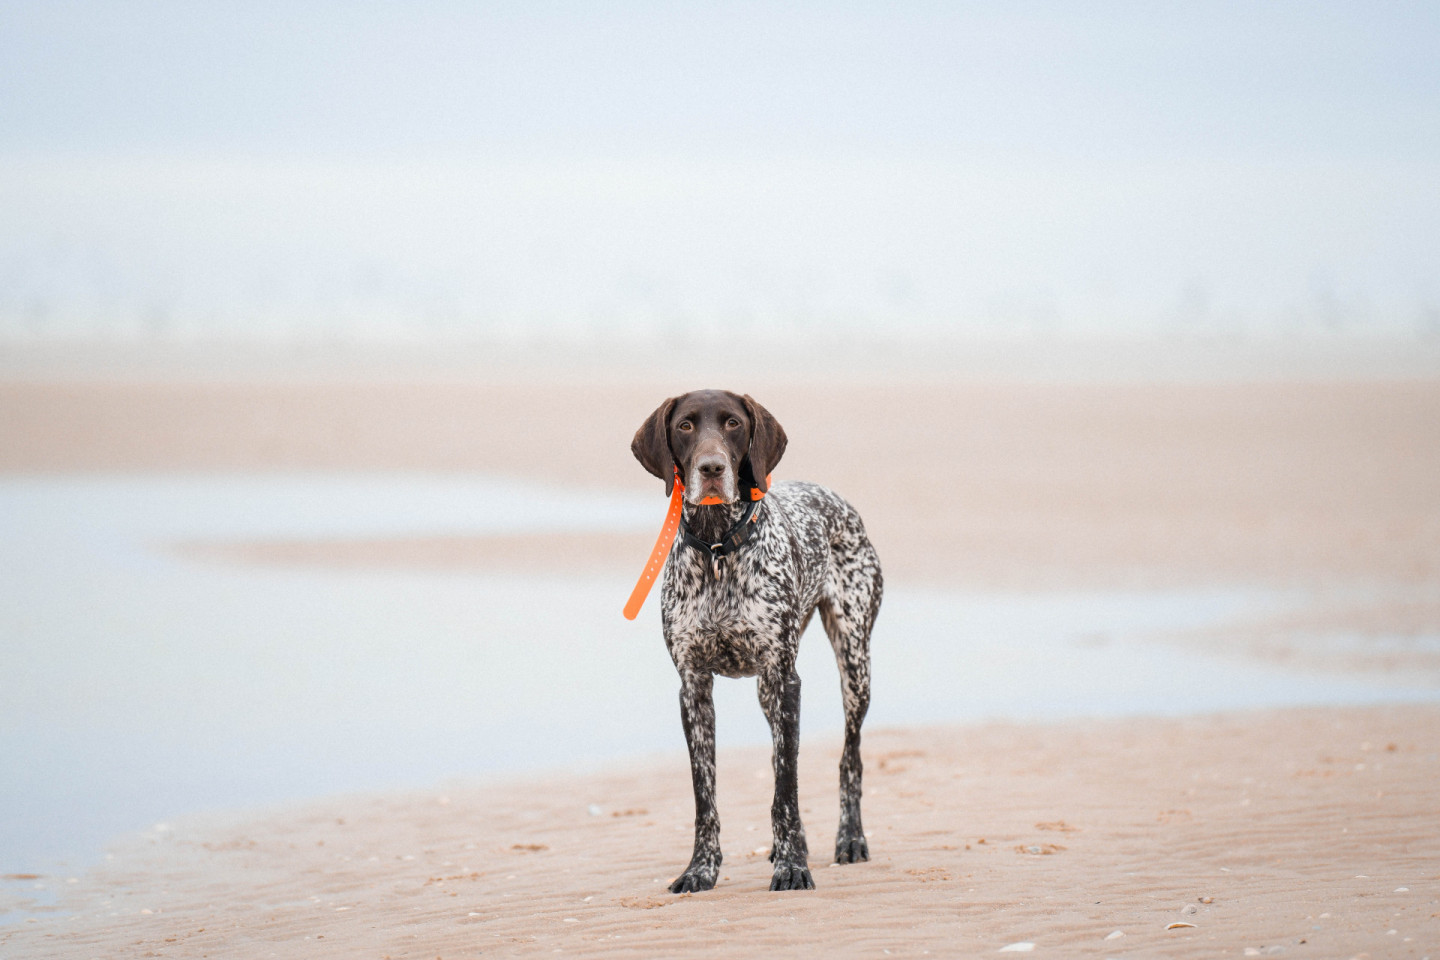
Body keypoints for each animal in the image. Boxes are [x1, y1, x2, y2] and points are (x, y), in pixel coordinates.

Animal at [633, 391, 881, 892]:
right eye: (685, 426)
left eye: (733, 423)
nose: (710, 467)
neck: (718, 550)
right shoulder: (694, 689)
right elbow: (705, 795)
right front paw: (700, 869)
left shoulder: (785, 679)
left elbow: (786, 788)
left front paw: (792, 866)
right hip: (771, 694)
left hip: (854, 664)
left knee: (848, 760)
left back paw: (849, 839)